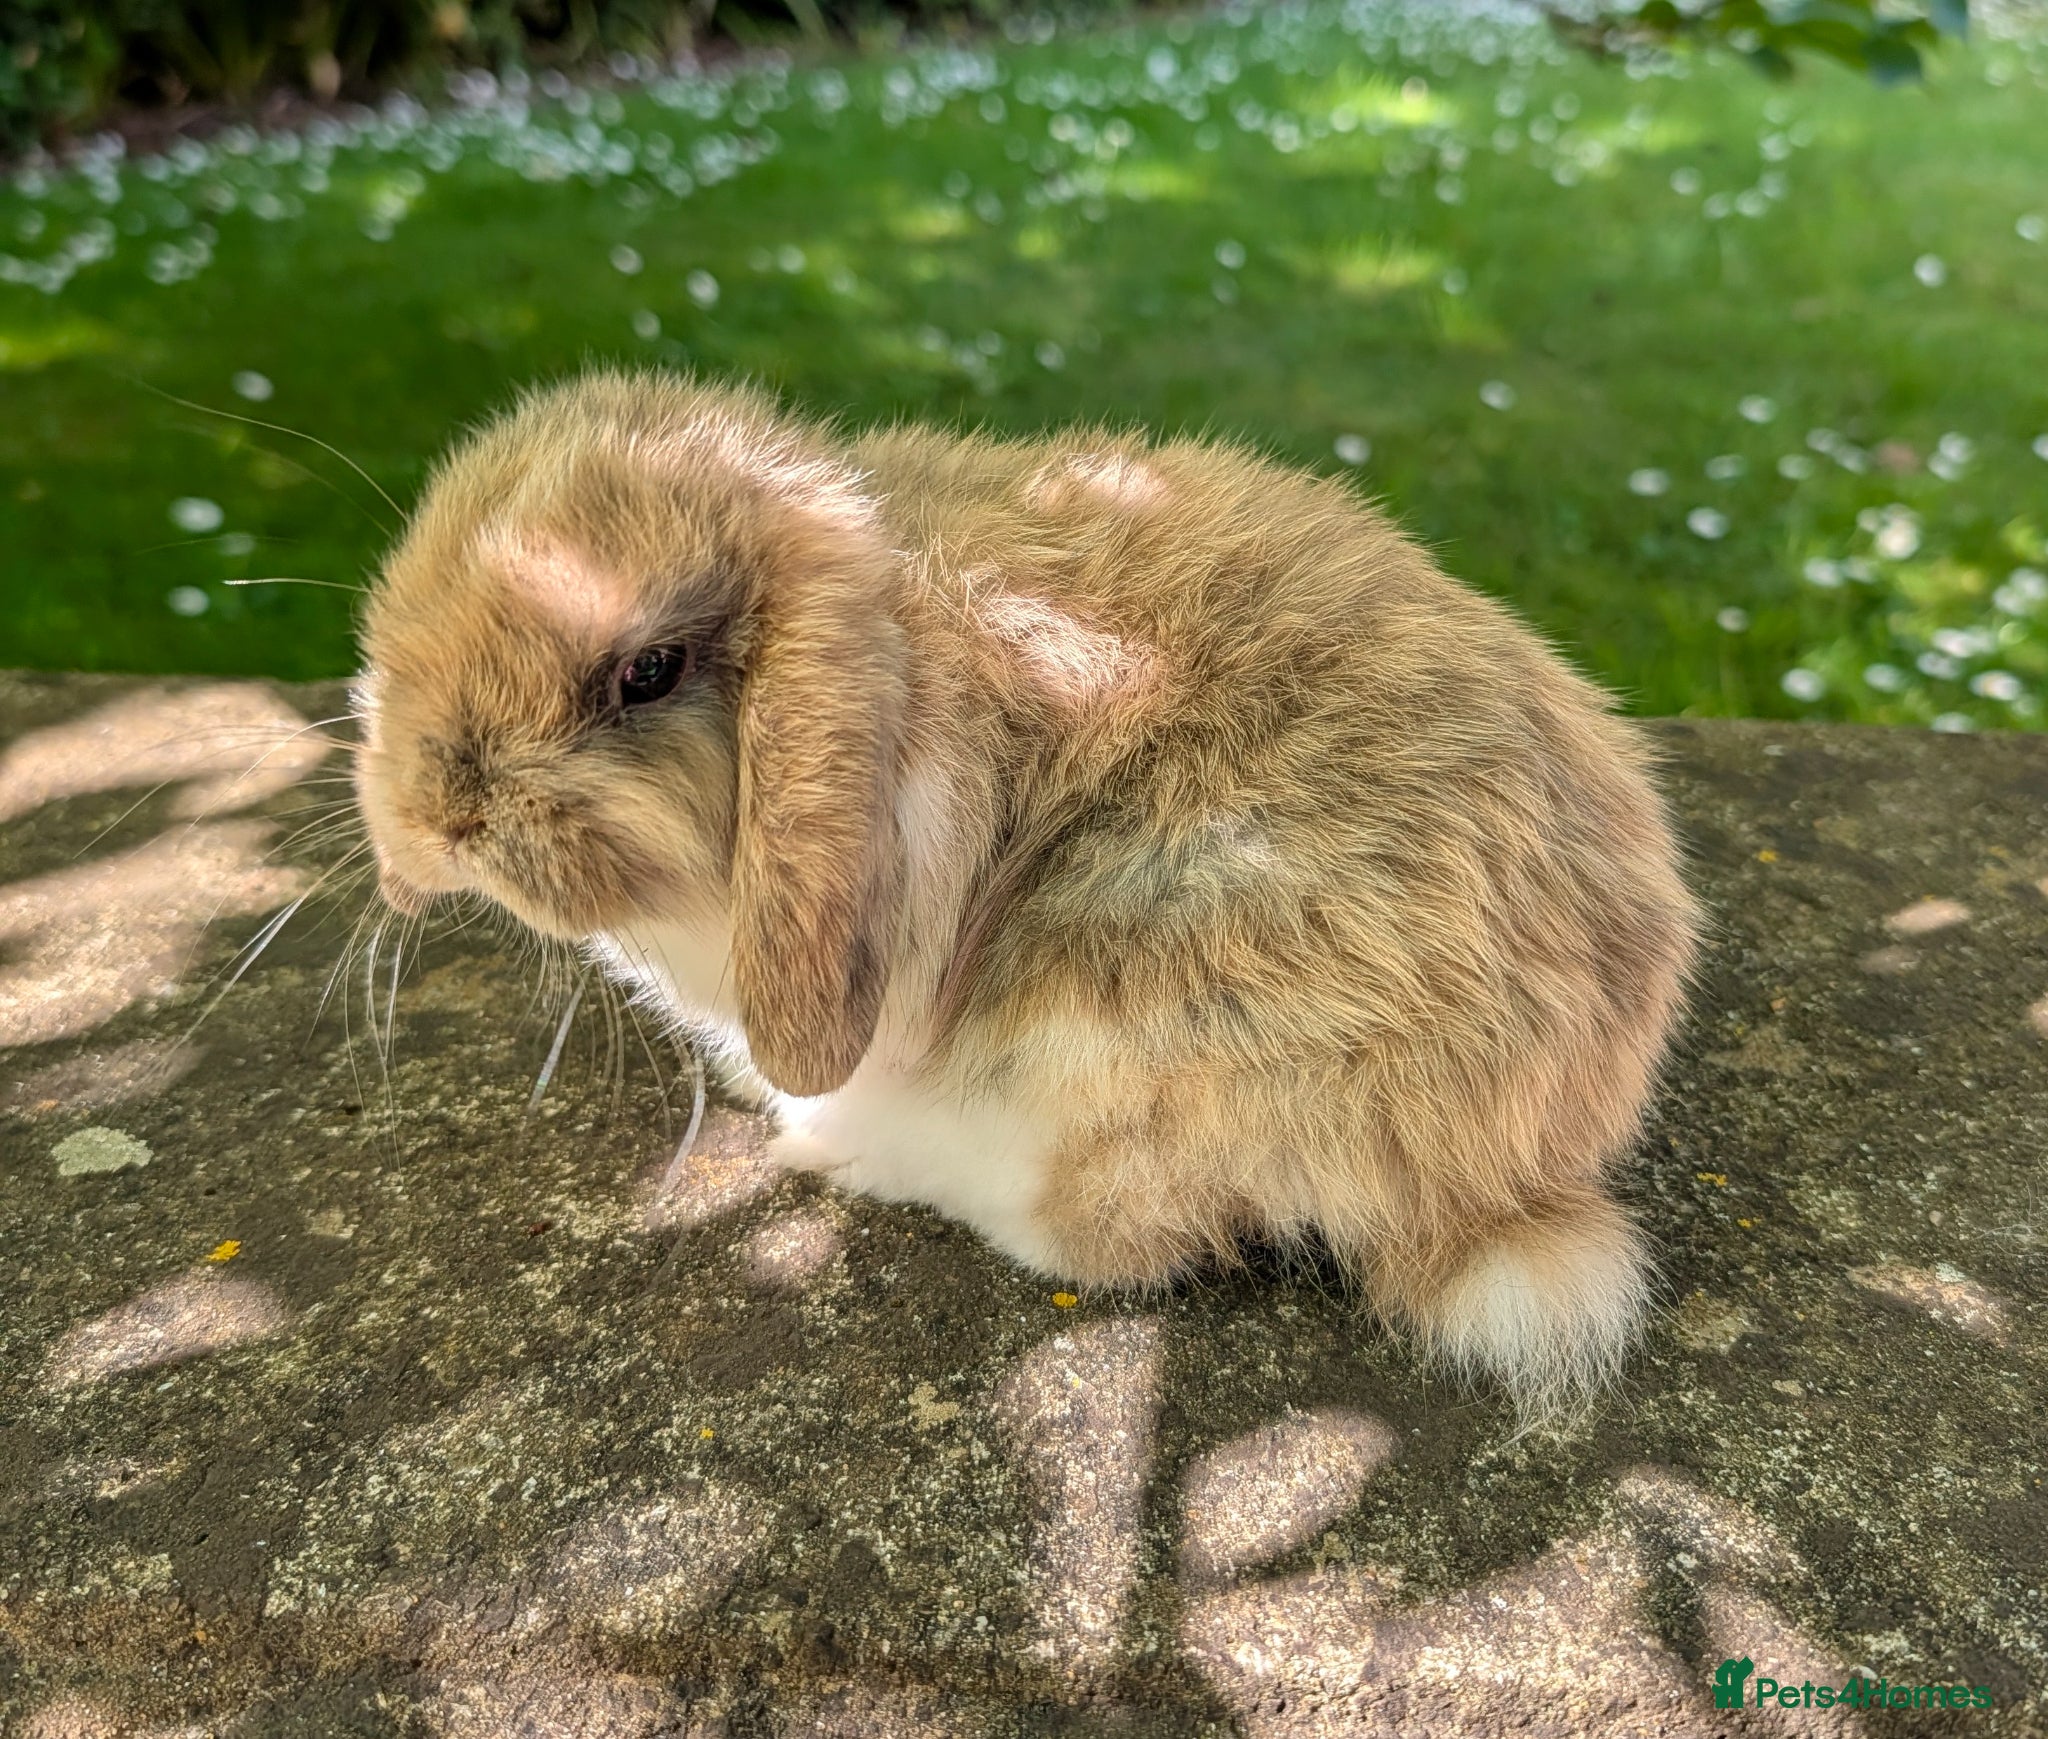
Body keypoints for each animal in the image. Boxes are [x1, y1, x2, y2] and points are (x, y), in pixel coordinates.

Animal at [353, 369, 1699, 1416]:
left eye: (646, 671)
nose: (437, 815)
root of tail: (1517, 1170)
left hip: (1130, 1014)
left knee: (1112, 1235)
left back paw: (851, 1149)